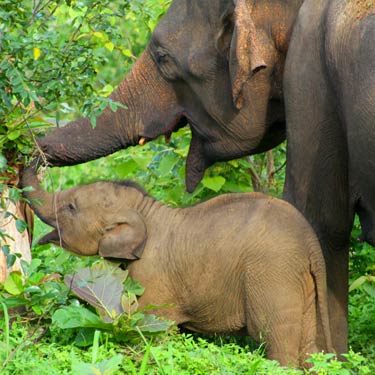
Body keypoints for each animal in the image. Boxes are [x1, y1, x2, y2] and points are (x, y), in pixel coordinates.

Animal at [22, 164, 332, 368]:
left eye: (71, 208)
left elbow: (153, 330)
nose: (31, 156)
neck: (145, 209)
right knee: (309, 348)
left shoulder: (153, 278)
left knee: (276, 341)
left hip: (272, 276)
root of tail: (310, 242)